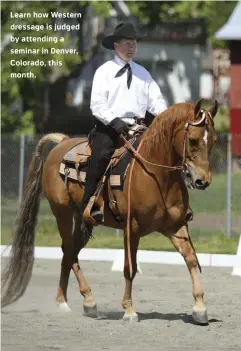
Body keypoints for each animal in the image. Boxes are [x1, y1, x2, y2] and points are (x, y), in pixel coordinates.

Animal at [0, 100, 218, 326]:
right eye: (192, 140)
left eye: (213, 140)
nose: (202, 181)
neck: (155, 176)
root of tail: (62, 143)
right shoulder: (132, 228)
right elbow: (129, 268)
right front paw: (129, 310)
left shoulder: (175, 226)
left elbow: (191, 259)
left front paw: (200, 308)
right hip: (62, 213)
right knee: (69, 251)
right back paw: (83, 301)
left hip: (83, 221)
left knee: (69, 252)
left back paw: (70, 301)